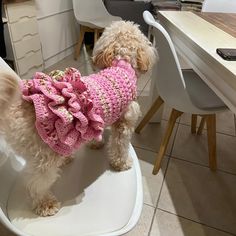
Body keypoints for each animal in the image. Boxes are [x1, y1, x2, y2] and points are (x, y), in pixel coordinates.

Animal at [0, 21, 156, 217]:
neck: (121, 64)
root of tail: (15, 107)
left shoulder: (96, 120)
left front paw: (96, 144)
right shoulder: (124, 123)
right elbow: (120, 146)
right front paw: (122, 163)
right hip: (43, 158)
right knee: (36, 184)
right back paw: (45, 204)